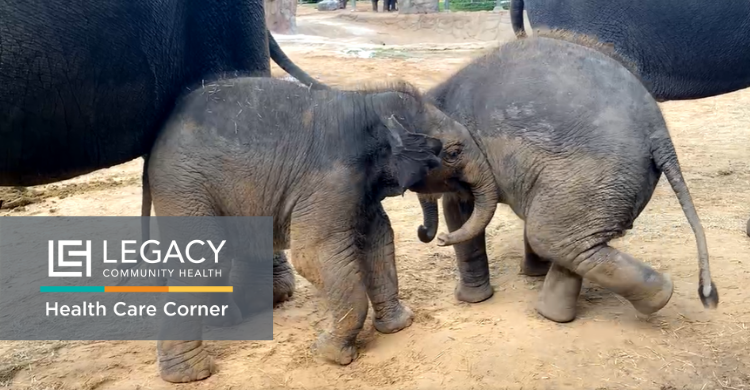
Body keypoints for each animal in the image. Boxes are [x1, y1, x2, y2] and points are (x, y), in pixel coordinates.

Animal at [144, 77, 494, 384]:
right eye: (453, 153)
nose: (438, 238)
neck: (370, 105)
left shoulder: (359, 186)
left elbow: (378, 241)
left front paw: (399, 325)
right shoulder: (330, 179)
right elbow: (313, 255)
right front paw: (330, 355)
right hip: (184, 185)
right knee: (203, 258)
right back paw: (191, 375)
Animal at [412, 29, 724, 322]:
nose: (425, 235)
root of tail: (659, 131)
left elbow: (459, 211)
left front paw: (470, 299)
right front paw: (531, 273)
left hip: (591, 173)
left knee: (554, 238)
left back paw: (658, 296)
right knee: (571, 241)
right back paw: (556, 312)